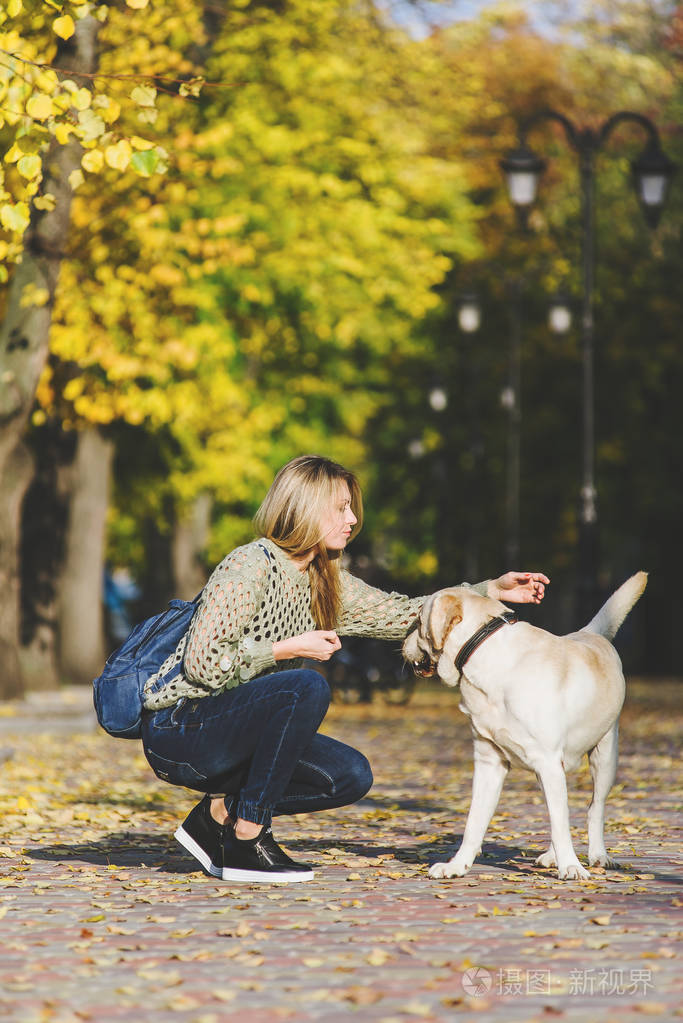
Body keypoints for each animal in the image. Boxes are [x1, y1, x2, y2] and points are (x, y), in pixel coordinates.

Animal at [402, 576, 650, 879]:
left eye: (417, 621)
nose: (403, 641)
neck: (488, 655)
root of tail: (590, 633)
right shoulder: (490, 762)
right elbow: (474, 821)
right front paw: (457, 865)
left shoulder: (549, 760)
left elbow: (563, 822)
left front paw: (571, 866)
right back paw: (553, 855)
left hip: (605, 755)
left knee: (594, 808)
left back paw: (597, 855)